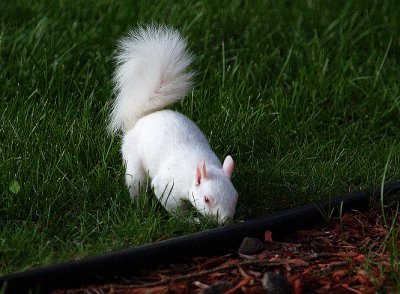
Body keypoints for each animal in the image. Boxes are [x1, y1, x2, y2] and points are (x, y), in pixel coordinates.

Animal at [108, 25, 238, 223]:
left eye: (236, 196)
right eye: (207, 199)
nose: (225, 221)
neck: (197, 168)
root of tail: (141, 120)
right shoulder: (169, 186)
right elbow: (173, 206)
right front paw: (191, 220)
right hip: (134, 161)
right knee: (136, 183)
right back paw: (141, 209)